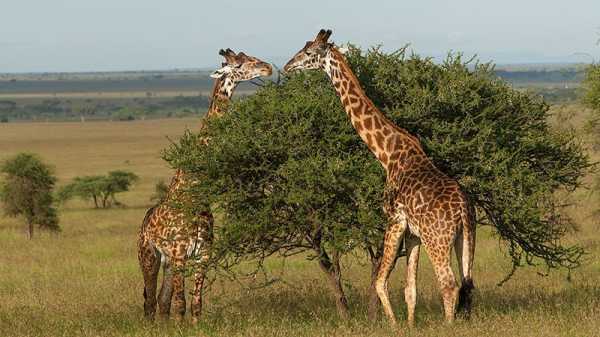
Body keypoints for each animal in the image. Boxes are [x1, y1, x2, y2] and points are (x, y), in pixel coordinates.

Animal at [138, 48, 272, 322]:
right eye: (240, 64)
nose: (268, 68)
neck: (195, 192)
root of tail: (143, 223)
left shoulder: (203, 255)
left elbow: (196, 303)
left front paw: (195, 325)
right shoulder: (180, 254)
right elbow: (181, 304)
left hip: (167, 262)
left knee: (161, 302)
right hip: (148, 256)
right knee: (150, 302)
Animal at [284, 29, 476, 326]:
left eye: (308, 52)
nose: (287, 66)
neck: (387, 154)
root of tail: (463, 210)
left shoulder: (394, 219)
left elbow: (380, 281)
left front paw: (395, 325)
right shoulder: (413, 232)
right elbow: (410, 288)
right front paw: (410, 325)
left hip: (438, 239)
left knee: (449, 283)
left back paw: (448, 326)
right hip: (465, 238)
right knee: (467, 283)